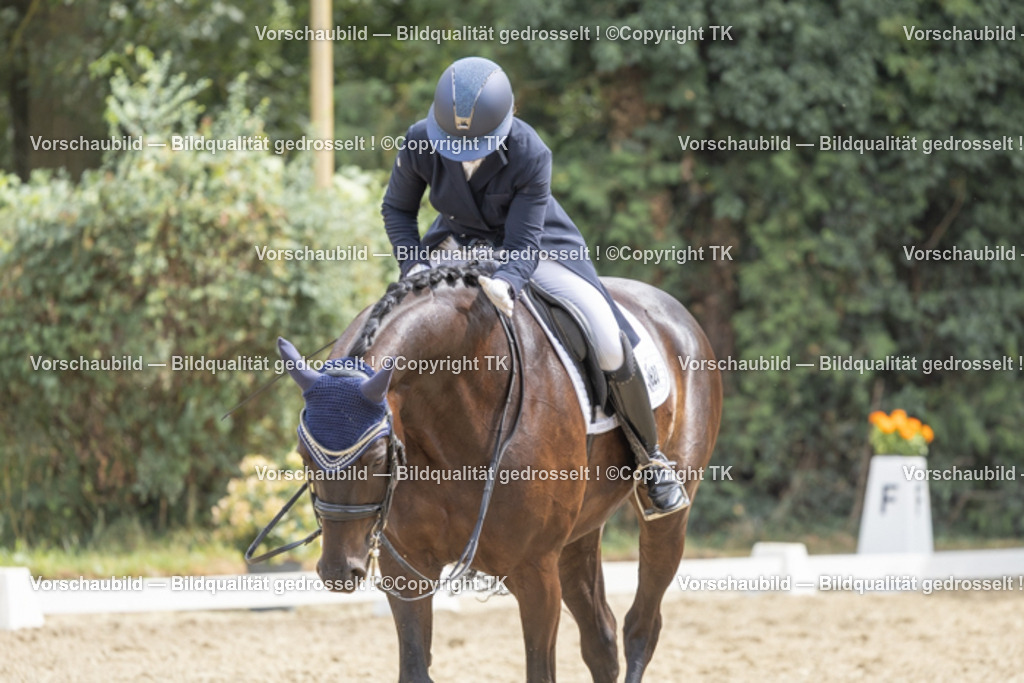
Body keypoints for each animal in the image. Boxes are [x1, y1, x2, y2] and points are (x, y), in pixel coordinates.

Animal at [276, 264, 722, 682]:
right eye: (303, 456)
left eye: (375, 457)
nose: (339, 571)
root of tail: (672, 307)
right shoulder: (405, 568)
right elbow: (415, 668)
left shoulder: (534, 570)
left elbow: (540, 671)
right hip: (578, 535)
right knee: (602, 639)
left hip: (666, 520)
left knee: (641, 628)